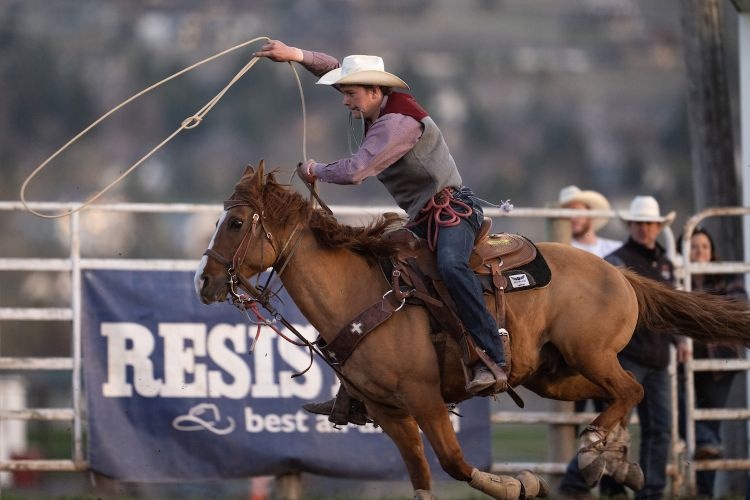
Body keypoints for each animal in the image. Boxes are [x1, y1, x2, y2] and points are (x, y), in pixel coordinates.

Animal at [195, 162, 750, 500]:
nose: (204, 281)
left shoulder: (426, 400)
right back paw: (611, 460)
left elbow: (457, 464)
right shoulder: (391, 412)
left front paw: (522, 484)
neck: (359, 293)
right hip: (553, 374)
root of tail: (620, 272)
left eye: (237, 223)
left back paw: (595, 449)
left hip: (590, 354)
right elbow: (422, 478)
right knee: (624, 394)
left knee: (629, 389)